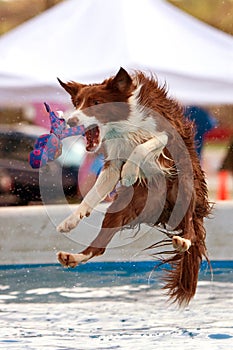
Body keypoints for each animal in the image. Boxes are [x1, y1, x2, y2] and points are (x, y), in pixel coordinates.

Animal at [56, 67, 209, 304]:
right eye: (77, 103)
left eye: (96, 102)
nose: (70, 121)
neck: (124, 123)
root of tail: (164, 210)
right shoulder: (112, 160)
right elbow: (92, 194)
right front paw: (71, 220)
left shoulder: (166, 134)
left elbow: (142, 147)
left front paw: (130, 171)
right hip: (124, 207)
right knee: (99, 247)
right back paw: (72, 257)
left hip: (185, 185)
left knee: (191, 228)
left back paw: (183, 241)